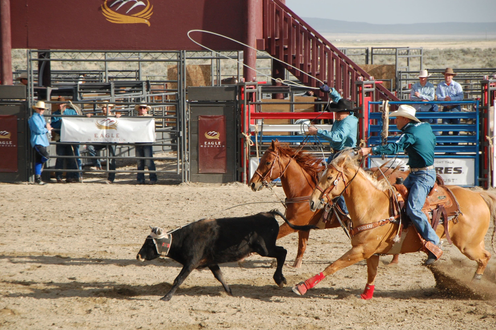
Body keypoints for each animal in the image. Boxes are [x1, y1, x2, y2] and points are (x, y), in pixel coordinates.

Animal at [248, 141, 406, 268]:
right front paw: (295, 264)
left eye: (268, 162)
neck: (303, 189)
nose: (253, 183)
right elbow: (302, 246)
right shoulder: (302, 226)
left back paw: (394, 260)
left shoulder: (292, 224)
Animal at [294, 150, 496, 300]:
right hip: (474, 242)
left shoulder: (361, 250)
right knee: (486, 256)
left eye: (329, 177)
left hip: (468, 245)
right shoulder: (372, 253)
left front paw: (302, 286)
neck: (372, 206)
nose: (312, 202)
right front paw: (366, 295)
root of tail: (478, 195)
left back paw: (474, 282)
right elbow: (371, 273)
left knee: (484, 257)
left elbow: (333, 266)